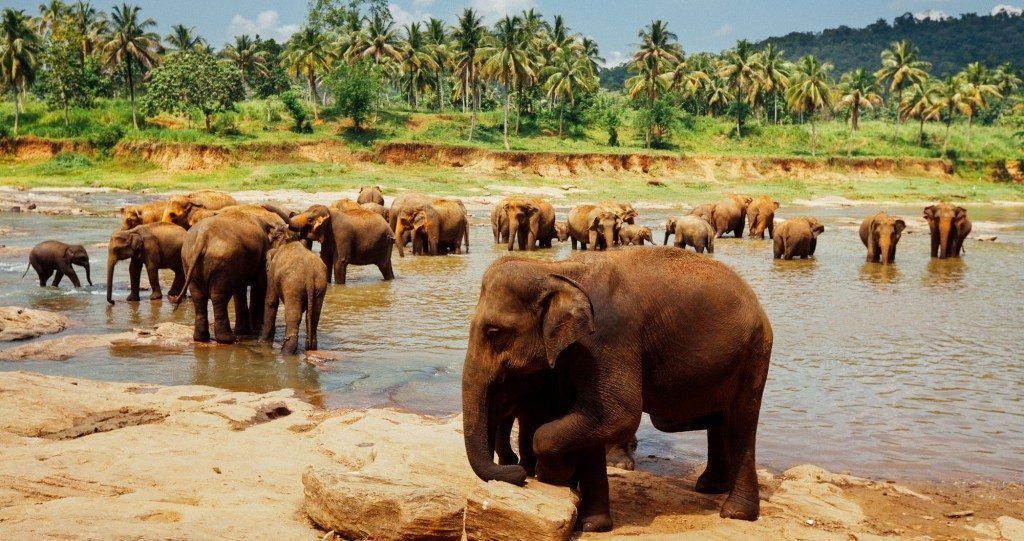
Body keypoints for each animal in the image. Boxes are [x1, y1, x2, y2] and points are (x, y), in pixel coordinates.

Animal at [172, 205, 286, 343]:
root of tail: (202, 237)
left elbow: (240, 289)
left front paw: (244, 331)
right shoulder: (262, 255)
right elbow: (258, 285)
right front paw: (255, 329)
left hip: (189, 259)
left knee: (198, 297)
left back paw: (201, 338)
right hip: (223, 260)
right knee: (219, 297)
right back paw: (228, 339)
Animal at [260, 226, 328, 355]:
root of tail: (309, 274)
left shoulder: (272, 269)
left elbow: (271, 301)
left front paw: (262, 343)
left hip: (293, 285)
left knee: (293, 315)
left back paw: (286, 352)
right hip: (320, 285)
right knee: (313, 316)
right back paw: (310, 347)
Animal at [462, 248, 773, 530]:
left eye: (493, 332)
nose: (516, 471)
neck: (557, 270)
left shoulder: (607, 339)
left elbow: (618, 414)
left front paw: (554, 473)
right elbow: (589, 419)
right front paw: (593, 524)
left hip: (755, 353)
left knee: (740, 423)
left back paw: (735, 513)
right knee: (719, 420)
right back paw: (710, 486)